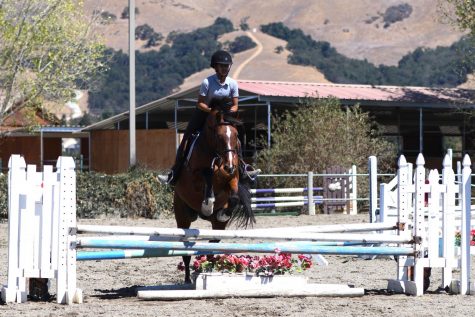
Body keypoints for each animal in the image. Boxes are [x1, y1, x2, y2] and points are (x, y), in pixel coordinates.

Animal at [174, 108, 256, 282]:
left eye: (236, 135)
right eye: (219, 136)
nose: (229, 165)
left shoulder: (233, 178)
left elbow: (234, 196)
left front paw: (223, 212)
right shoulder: (194, 177)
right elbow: (207, 173)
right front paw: (208, 203)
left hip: (217, 226)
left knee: (213, 243)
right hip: (182, 217)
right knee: (185, 250)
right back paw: (187, 279)